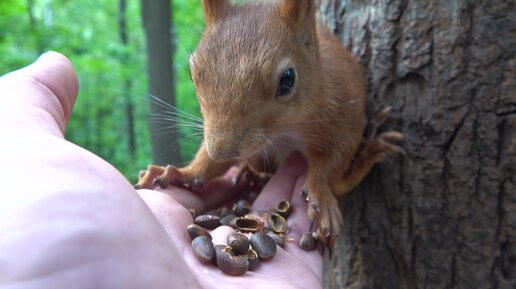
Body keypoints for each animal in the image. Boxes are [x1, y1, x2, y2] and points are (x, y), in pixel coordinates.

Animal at [137, 0, 404, 248]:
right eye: (193, 73)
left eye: (287, 79)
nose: (223, 151)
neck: (284, 130)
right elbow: (207, 165)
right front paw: (180, 173)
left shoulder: (343, 114)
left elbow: (333, 160)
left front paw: (320, 196)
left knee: (342, 181)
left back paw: (370, 151)